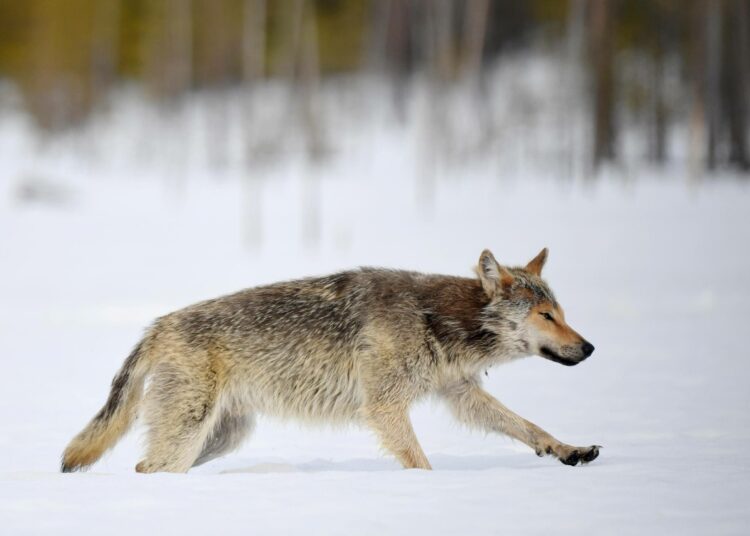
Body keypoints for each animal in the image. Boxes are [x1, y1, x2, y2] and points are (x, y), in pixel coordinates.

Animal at [60, 248, 600, 474]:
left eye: (562, 313)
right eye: (545, 315)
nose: (590, 348)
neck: (435, 318)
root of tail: (157, 326)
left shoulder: (460, 393)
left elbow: (528, 427)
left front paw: (568, 450)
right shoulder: (385, 408)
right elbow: (422, 464)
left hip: (224, 436)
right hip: (190, 432)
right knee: (147, 468)